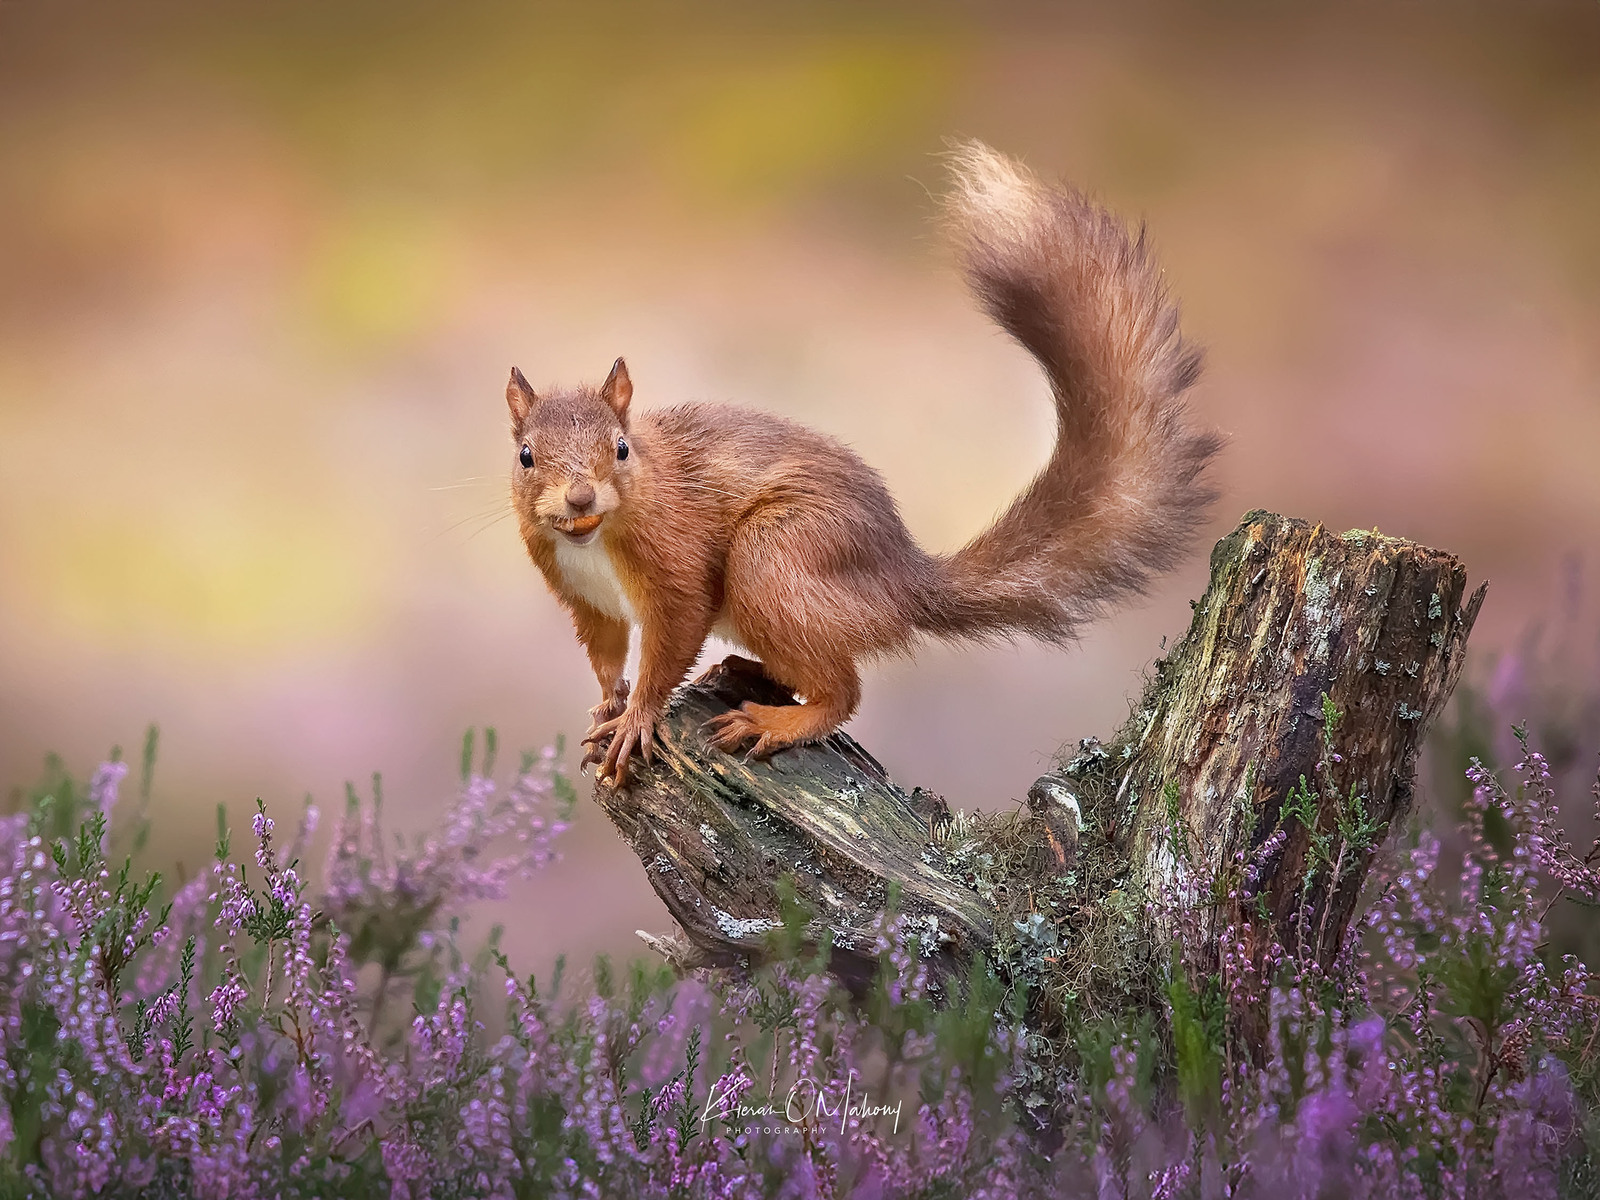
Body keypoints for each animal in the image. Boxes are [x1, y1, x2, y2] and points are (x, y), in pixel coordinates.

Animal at [505, 141, 1222, 786]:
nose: (580, 499)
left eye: (621, 449)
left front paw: (636, 720)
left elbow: (671, 640)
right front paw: (607, 706)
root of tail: (900, 583)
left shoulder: (676, 566)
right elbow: (605, 656)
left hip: (776, 558)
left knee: (843, 689)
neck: (596, 543)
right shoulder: (582, 599)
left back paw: (776, 719)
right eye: (526, 456)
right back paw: (743, 671)